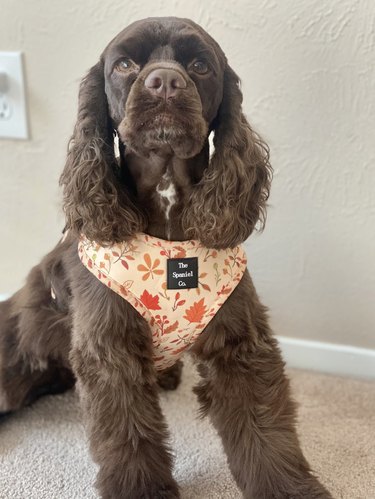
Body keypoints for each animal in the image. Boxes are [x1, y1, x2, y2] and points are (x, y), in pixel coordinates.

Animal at [0, 16, 334, 499]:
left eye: (199, 65)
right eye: (124, 64)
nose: (164, 82)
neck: (167, 196)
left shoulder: (240, 341)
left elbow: (265, 429)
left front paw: (289, 488)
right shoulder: (110, 348)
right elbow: (129, 434)